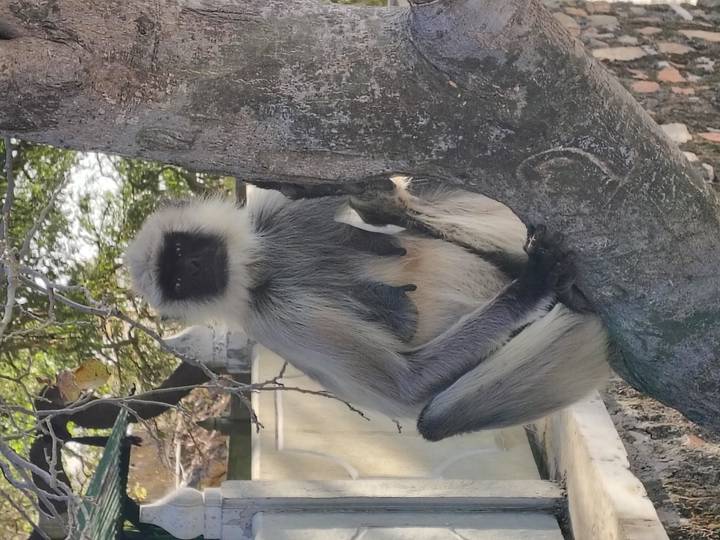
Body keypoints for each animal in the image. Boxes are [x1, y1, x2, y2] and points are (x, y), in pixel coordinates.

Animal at [125, 180, 609, 441]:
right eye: (179, 281)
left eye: (182, 250)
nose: (193, 267)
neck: (263, 265)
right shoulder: (275, 316)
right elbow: (408, 387)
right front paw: (531, 288)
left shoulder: (270, 221)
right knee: (432, 421)